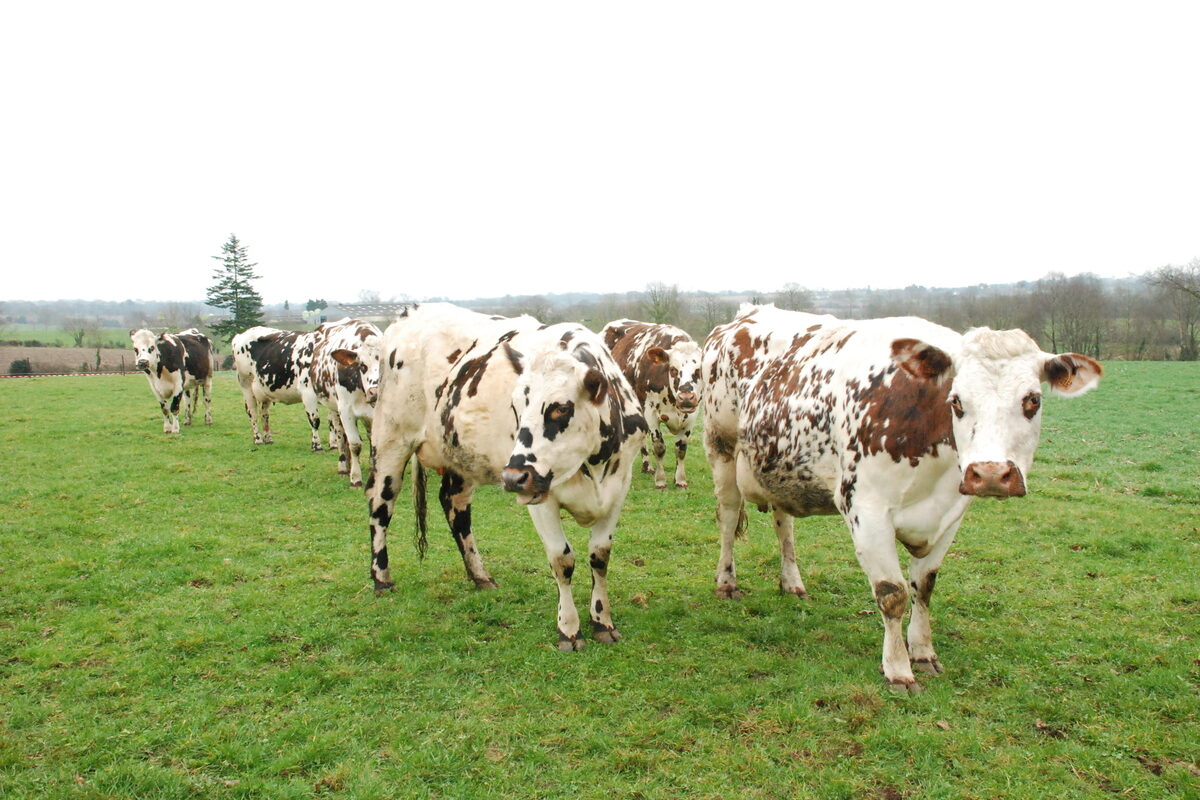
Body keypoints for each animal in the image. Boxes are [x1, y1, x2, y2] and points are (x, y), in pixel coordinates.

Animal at [308, 319, 384, 487]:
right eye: (362, 365)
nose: (375, 392)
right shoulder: (346, 411)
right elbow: (355, 444)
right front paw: (355, 478)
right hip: (334, 410)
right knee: (340, 435)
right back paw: (344, 466)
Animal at [365, 303, 648, 650]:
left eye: (560, 408)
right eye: (516, 406)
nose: (513, 477)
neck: (593, 466)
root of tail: (412, 312)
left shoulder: (618, 488)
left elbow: (600, 556)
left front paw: (602, 621)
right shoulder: (540, 498)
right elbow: (562, 559)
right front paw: (569, 629)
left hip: (460, 457)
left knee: (455, 507)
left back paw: (480, 576)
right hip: (390, 440)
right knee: (380, 506)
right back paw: (381, 578)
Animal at [602, 319, 702, 489]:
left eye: (698, 370)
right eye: (673, 370)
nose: (686, 397)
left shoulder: (691, 415)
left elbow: (681, 448)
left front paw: (680, 480)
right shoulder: (650, 413)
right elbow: (659, 447)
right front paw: (661, 480)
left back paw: (646, 466)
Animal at [702, 304, 1102, 692]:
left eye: (1032, 400)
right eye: (957, 401)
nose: (990, 474)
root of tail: (745, 315)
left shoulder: (951, 514)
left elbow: (924, 586)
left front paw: (923, 652)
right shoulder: (865, 509)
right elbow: (892, 593)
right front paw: (898, 669)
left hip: (776, 466)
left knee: (783, 523)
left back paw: (792, 582)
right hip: (721, 446)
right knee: (727, 517)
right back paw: (726, 582)